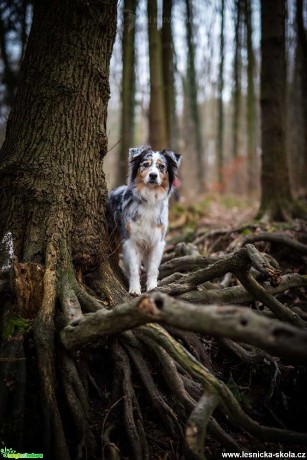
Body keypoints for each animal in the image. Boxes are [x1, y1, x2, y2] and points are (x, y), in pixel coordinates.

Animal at [108, 146, 182, 296]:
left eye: (161, 166)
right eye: (146, 164)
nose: (153, 175)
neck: (149, 200)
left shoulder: (157, 241)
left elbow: (153, 269)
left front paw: (153, 287)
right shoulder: (130, 240)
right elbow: (134, 269)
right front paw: (134, 289)